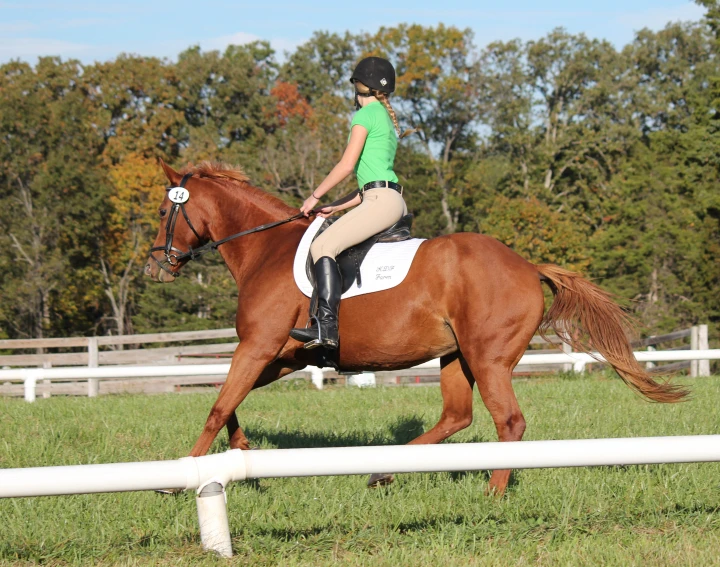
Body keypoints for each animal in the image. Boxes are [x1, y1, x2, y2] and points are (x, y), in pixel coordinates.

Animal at [145, 161, 688, 496]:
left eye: (163, 211)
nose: (155, 267)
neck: (266, 250)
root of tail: (527, 265)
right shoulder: (282, 356)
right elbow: (230, 402)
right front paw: (241, 453)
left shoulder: (258, 346)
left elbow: (218, 406)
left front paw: (178, 478)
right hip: (456, 356)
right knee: (456, 417)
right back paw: (383, 472)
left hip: (488, 358)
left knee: (508, 422)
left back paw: (492, 492)